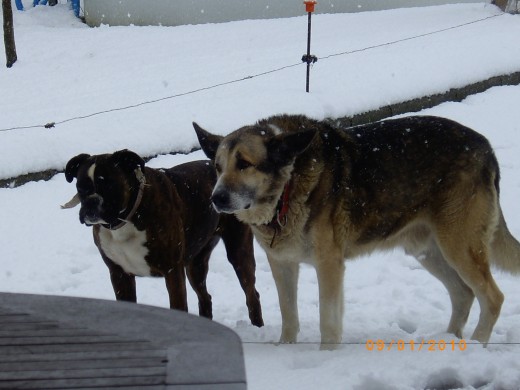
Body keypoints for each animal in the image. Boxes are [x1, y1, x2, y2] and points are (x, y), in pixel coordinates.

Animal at [62, 151, 262, 328]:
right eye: (80, 187)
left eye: (109, 185)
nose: (91, 202)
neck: (128, 218)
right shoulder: (119, 274)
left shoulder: (172, 271)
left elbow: (178, 306)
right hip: (195, 265)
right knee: (205, 296)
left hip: (239, 252)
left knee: (251, 294)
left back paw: (258, 326)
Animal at [194, 114, 520, 348]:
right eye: (218, 167)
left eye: (244, 164)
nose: (216, 198)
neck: (287, 186)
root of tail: (486, 147)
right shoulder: (283, 265)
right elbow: (289, 316)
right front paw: (286, 349)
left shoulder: (328, 264)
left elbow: (327, 319)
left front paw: (326, 357)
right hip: (428, 250)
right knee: (463, 294)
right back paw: (447, 342)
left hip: (458, 245)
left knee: (492, 298)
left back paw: (475, 345)